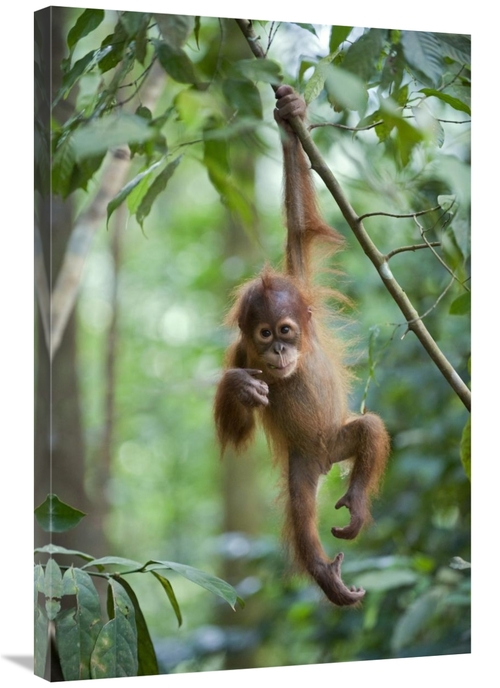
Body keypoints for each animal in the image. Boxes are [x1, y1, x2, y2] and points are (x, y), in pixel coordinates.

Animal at [214, 85, 390, 607]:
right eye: (264, 335)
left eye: (287, 330)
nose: (277, 353)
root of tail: (325, 457)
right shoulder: (241, 353)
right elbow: (236, 432)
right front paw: (239, 387)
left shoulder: (302, 281)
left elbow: (298, 226)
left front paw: (290, 113)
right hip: (302, 464)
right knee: (299, 509)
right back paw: (325, 572)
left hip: (336, 437)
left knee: (369, 429)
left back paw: (355, 506)